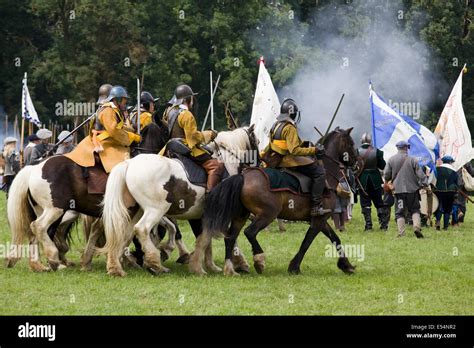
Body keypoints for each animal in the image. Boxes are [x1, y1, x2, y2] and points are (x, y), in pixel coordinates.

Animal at [5, 119, 170, 272]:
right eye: (166, 131)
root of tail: (34, 168)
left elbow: (103, 232)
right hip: (55, 210)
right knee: (39, 227)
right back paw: (53, 258)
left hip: (44, 210)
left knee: (38, 234)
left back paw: (39, 265)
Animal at [97, 125, 258, 278]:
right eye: (255, 141)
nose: (259, 164)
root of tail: (129, 164)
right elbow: (223, 238)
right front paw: (238, 264)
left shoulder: (205, 216)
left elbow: (206, 240)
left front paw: (210, 266)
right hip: (155, 210)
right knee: (141, 229)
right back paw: (155, 263)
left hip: (137, 211)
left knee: (124, 234)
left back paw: (116, 267)